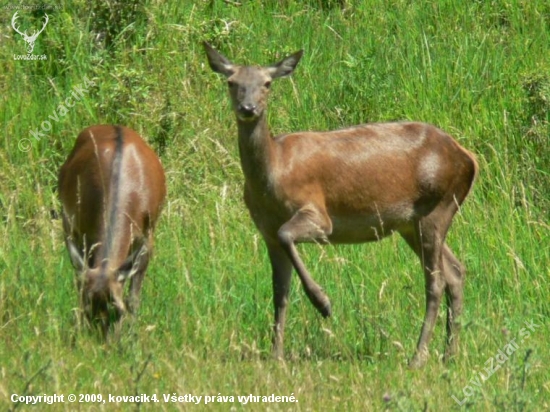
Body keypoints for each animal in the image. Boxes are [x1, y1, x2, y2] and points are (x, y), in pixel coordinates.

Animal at [205, 42, 480, 366]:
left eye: (267, 83)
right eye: (231, 82)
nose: (248, 108)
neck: (275, 171)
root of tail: (469, 158)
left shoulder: (317, 214)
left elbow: (288, 235)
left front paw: (323, 303)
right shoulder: (266, 231)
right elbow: (279, 290)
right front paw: (276, 355)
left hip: (437, 207)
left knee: (436, 282)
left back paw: (418, 357)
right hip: (413, 223)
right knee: (455, 272)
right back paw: (449, 354)